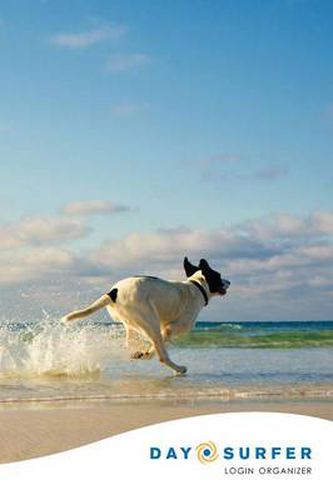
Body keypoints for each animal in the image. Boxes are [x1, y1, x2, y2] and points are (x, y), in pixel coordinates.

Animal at [61, 260, 230, 374]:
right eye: (218, 275)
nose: (229, 281)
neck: (196, 286)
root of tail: (113, 292)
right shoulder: (169, 329)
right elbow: (158, 346)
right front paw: (147, 353)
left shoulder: (163, 329)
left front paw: (143, 353)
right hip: (149, 321)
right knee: (162, 355)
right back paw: (178, 368)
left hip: (133, 322)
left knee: (131, 342)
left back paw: (138, 353)